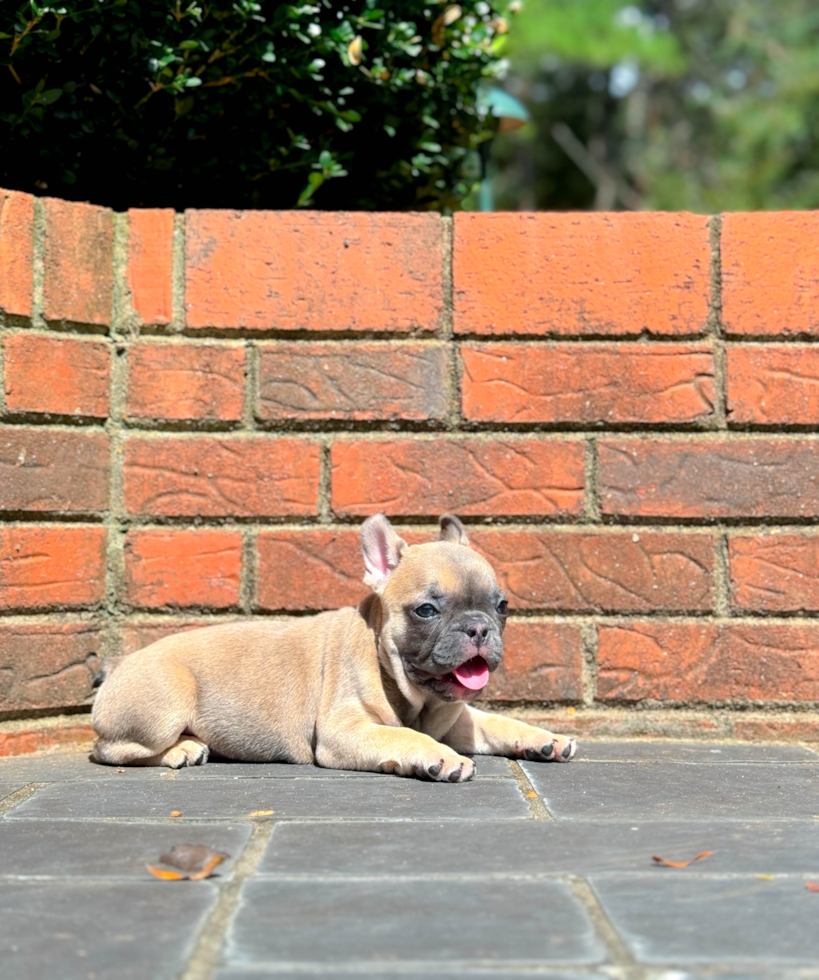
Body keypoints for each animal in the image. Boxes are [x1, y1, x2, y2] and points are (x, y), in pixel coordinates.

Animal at [91, 512, 576, 780]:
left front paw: (545, 739)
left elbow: (498, 722)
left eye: (501, 606)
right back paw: (181, 750)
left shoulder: (459, 719)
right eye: (426, 611)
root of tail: (118, 667)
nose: (478, 628)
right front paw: (437, 757)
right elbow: (402, 735)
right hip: (165, 703)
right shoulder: (345, 729)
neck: (412, 695)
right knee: (112, 750)